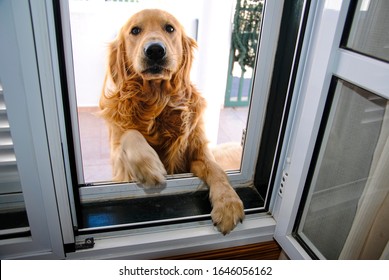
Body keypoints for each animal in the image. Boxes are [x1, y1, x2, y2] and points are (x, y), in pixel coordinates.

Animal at [99, 8, 242, 234]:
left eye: (169, 28)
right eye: (135, 30)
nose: (155, 50)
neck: (158, 100)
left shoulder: (197, 152)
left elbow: (217, 170)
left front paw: (228, 202)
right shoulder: (120, 162)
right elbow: (131, 134)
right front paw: (149, 164)